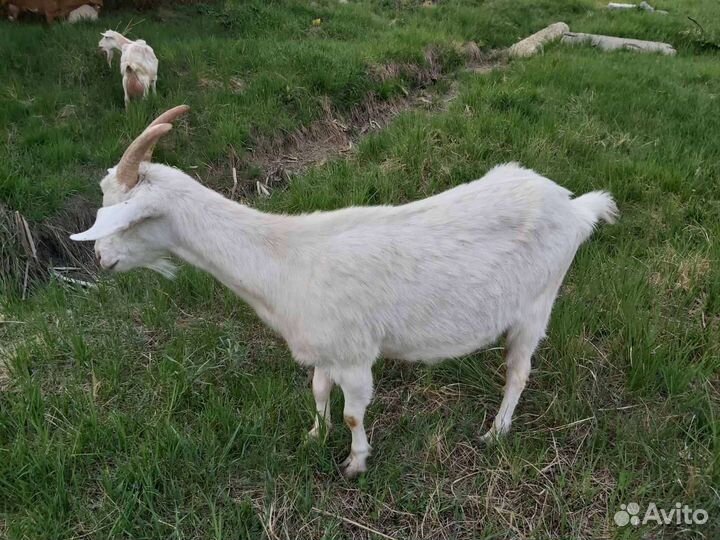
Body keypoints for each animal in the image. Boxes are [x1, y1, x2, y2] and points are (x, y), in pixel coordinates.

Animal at [71, 106, 618, 477]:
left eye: (128, 217)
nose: (100, 259)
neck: (285, 259)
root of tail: (575, 207)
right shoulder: (323, 349)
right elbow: (317, 392)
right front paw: (315, 436)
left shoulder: (356, 355)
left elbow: (355, 413)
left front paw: (355, 463)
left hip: (537, 303)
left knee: (519, 372)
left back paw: (495, 433)